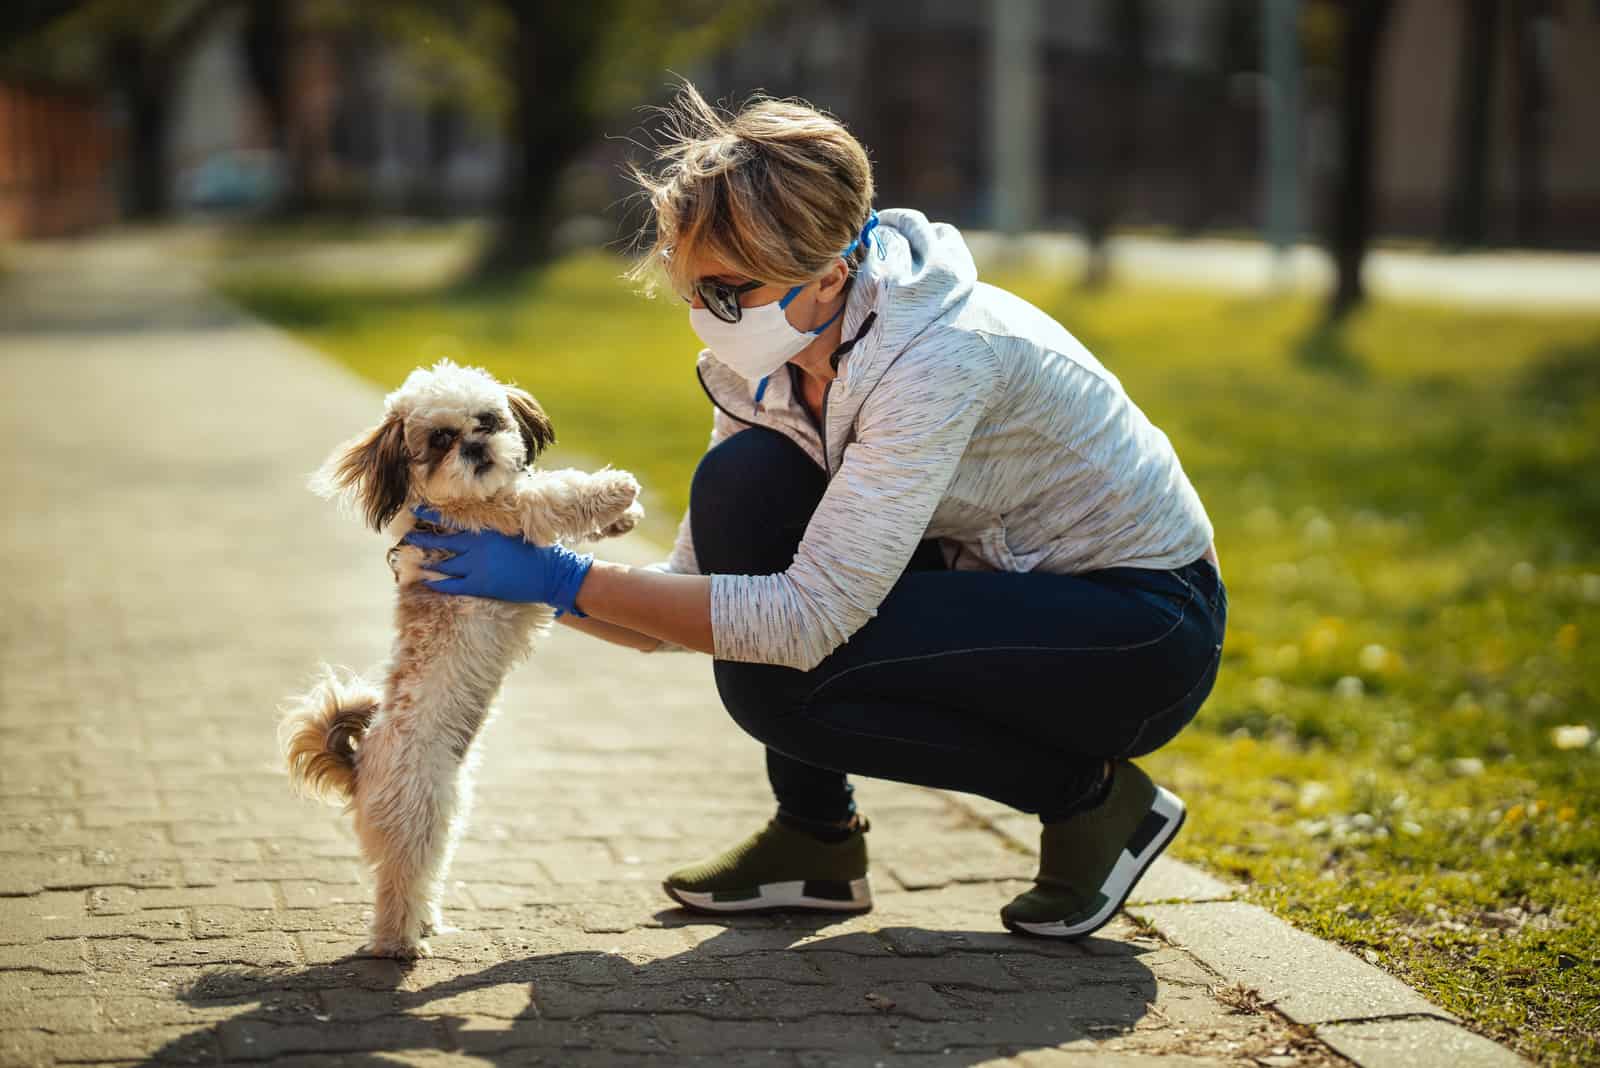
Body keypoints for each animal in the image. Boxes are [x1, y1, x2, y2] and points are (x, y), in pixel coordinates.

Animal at [281, 358, 643, 959]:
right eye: (439, 440)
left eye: (488, 420)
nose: (475, 448)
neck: (450, 505)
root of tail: (360, 766)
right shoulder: (505, 519)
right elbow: (550, 493)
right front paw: (614, 489)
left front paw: (622, 517)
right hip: (418, 815)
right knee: (397, 882)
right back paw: (399, 943)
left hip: (445, 814)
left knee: (423, 876)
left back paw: (425, 922)